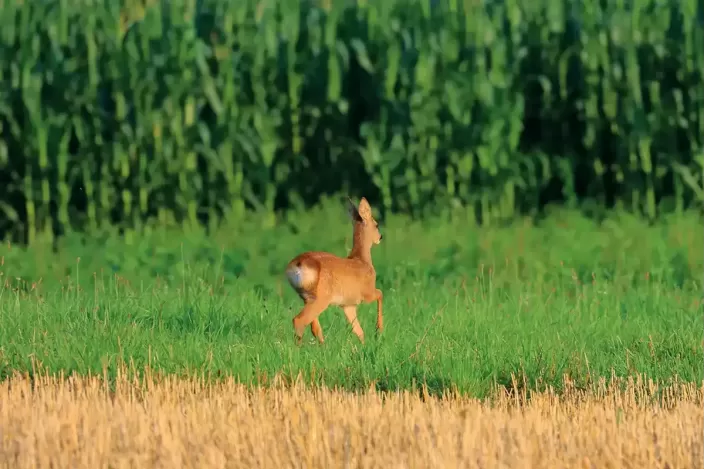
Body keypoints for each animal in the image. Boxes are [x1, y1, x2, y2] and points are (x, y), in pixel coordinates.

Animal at [284, 197, 384, 344]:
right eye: (376, 224)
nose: (380, 237)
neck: (362, 260)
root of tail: (298, 264)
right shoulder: (367, 292)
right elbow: (380, 293)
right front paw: (379, 330)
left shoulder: (348, 305)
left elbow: (359, 331)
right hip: (321, 298)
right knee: (299, 320)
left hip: (307, 297)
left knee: (315, 328)